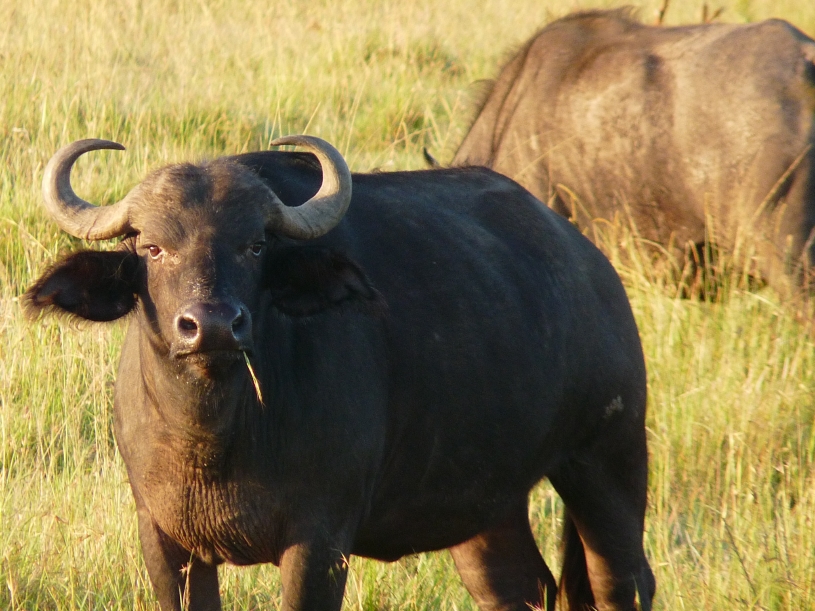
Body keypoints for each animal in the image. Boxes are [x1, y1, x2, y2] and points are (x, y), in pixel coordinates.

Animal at [24, 135, 654, 611]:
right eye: (152, 248)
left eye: (255, 245)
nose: (213, 325)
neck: (215, 438)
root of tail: (590, 264)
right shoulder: (165, 542)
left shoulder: (319, 542)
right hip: (487, 504)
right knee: (521, 589)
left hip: (607, 458)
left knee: (622, 583)